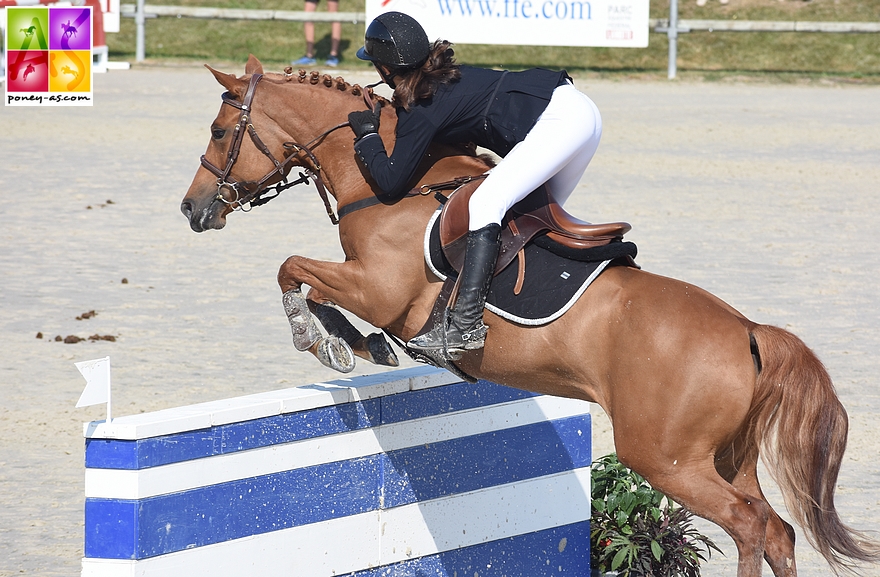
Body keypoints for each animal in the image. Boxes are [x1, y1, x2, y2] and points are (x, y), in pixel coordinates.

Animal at [182, 56, 876, 572]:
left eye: (217, 132)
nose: (192, 209)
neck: (385, 186)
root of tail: (748, 332)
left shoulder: (381, 291)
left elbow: (292, 269)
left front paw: (322, 338)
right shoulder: (367, 287)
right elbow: (309, 279)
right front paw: (354, 343)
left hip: (667, 460)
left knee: (750, 525)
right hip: (726, 457)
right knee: (776, 531)